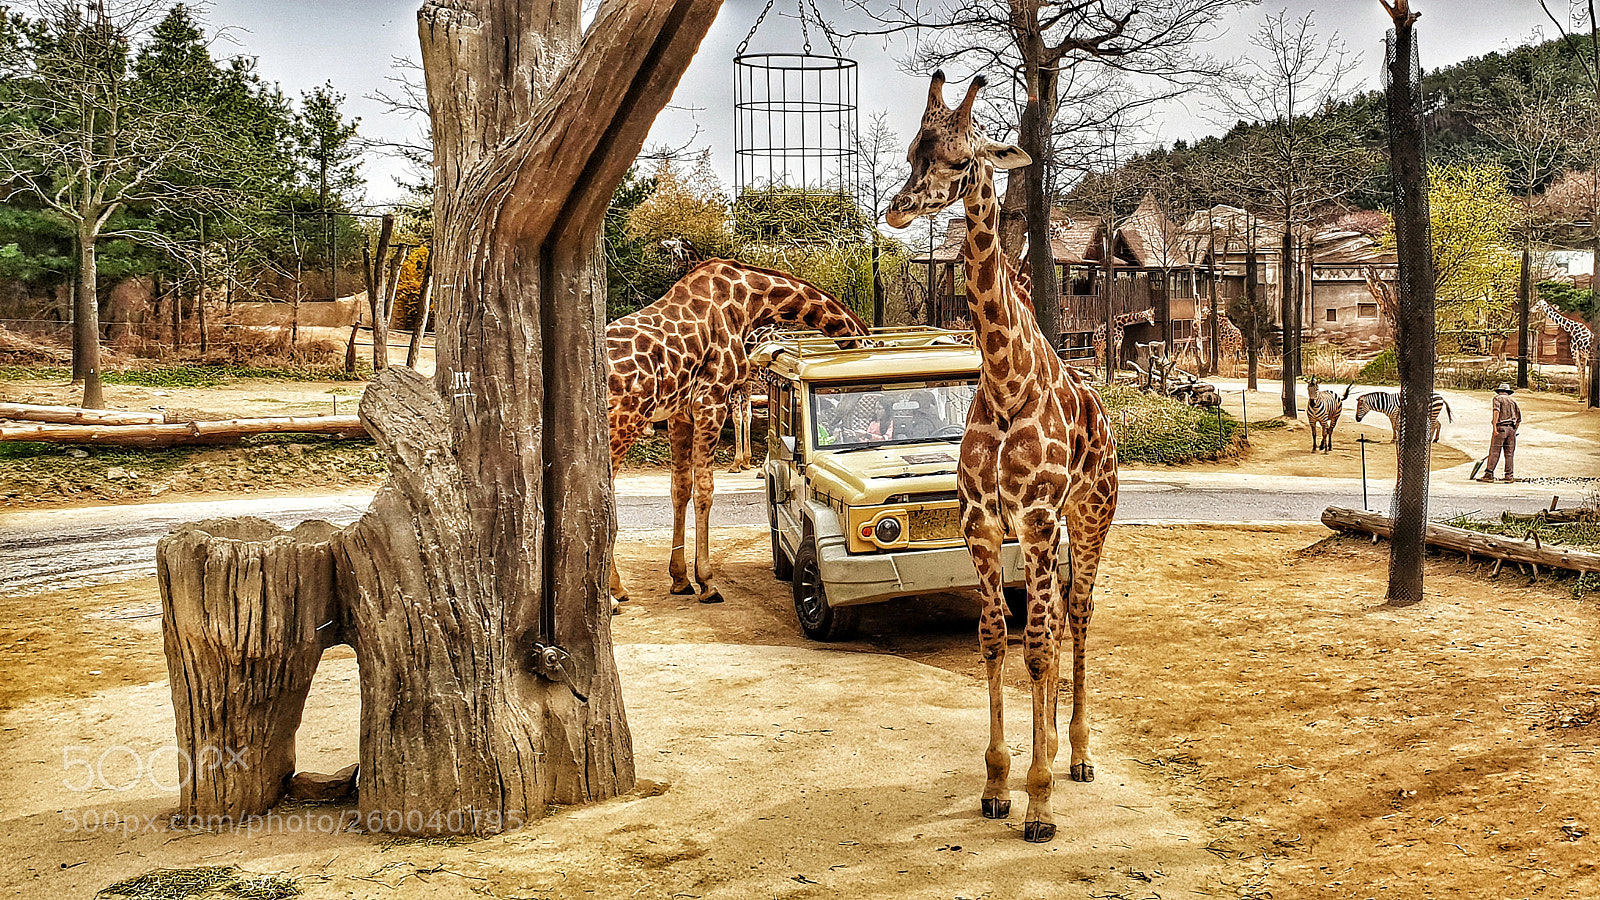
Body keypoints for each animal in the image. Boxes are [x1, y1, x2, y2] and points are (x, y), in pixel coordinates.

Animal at [607, 260, 867, 605]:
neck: (748, 301)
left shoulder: (680, 414)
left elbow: (681, 488)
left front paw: (680, 579)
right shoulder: (711, 400)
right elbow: (705, 490)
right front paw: (707, 582)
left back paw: (616, 589)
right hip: (623, 423)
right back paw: (613, 595)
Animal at [886, 71, 1119, 844]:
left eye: (962, 161)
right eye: (912, 151)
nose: (898, 208)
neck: (1005, 380)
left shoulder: (1040, 518)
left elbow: (1039, 645)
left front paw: (1039, 802)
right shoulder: (984, 525)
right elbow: (995, 638)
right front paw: (996, 783)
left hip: (1092, 515)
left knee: (1076, 615)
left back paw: (1074, 757)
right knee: (1049, 622)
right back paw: (1047, 752)